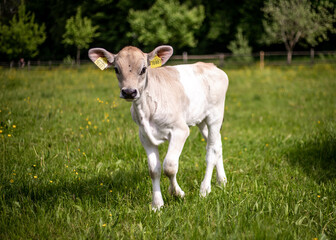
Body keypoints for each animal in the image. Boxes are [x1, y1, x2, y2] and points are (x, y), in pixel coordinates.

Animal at [88, 45, 230, 210]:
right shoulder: (144, 136)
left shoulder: (180, 130)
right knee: (217, 144)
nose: (129, 92)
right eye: (116, 69)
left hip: (215, 115)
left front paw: (177, 193)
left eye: (143, 69)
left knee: (211, 150)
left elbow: (169, 166)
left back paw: (205, 189)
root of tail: (210, 65)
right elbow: (154, 170)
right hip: (201, 119)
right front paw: (157, 204)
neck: (146, 110)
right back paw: (222, 181)